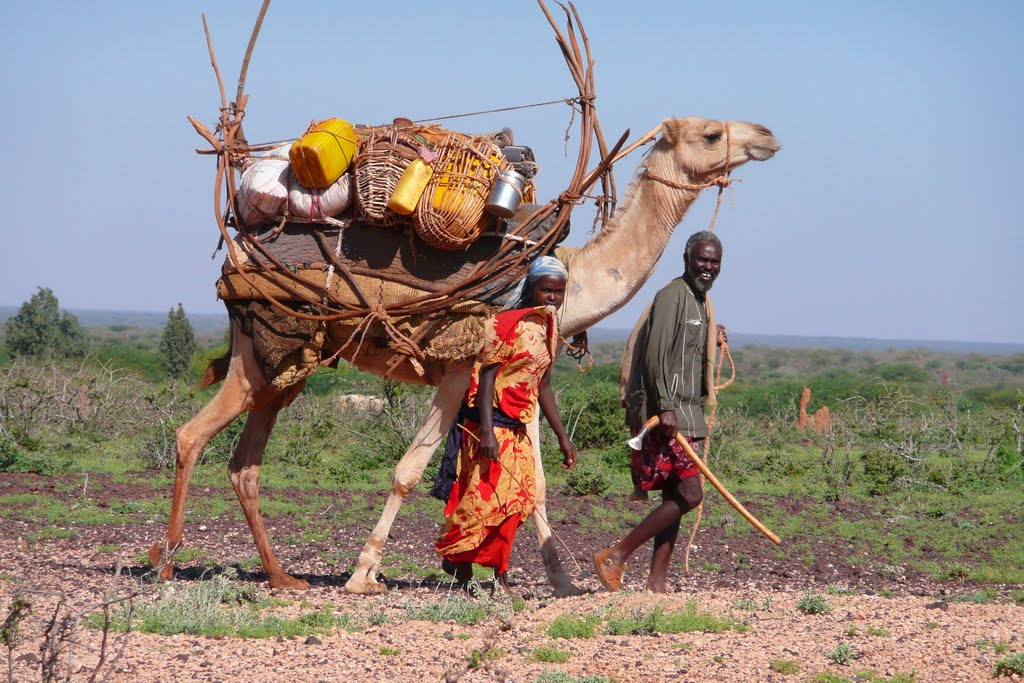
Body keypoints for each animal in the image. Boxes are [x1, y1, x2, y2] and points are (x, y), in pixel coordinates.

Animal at [148, 116, 778, 593]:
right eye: (709, 135)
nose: (767, 135)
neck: (564, 280)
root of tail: (238, 254)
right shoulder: (458, 365)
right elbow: (407, 471)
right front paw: (362, 575)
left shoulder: (520, 377)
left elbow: (536, 481)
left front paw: (561, 579)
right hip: (259, 354)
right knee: (191, 435)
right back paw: (167, 562)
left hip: (287, 365)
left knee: (244, 465)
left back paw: (281, 578)